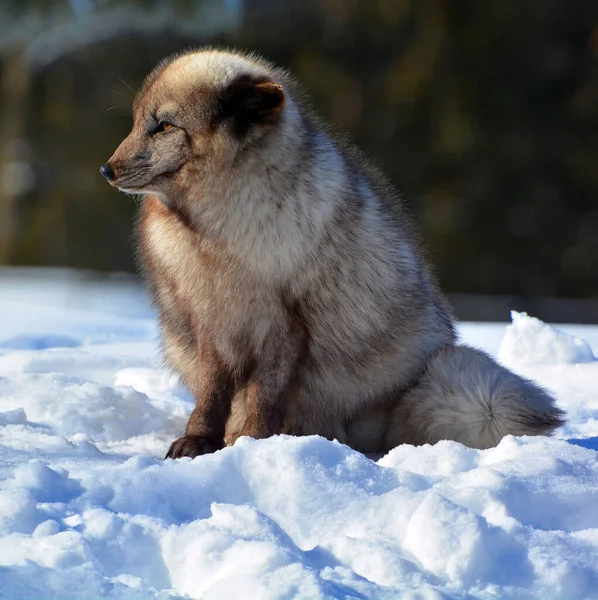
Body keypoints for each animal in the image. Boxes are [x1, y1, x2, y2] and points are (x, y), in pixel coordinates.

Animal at [99, 49, 568, 458]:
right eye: (137, 122)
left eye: (164, 125)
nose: (107, 170)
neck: (215, 236)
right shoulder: (211, 322)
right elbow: (212, 394)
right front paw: (198, 442)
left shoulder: (282, 323)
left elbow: (263, 395)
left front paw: (250, 444)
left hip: (446, 377)